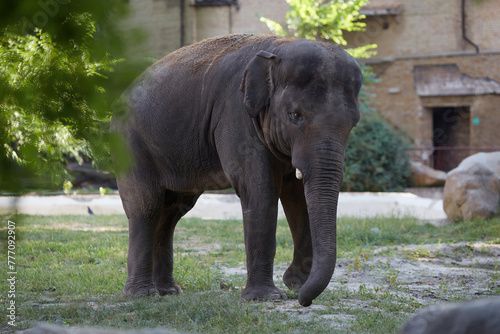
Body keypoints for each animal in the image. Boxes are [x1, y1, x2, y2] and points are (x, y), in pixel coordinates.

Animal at [112, 32, 364, 306]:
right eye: (295, 115)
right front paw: (266, 297)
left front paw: (295, 283)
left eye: (354, 123)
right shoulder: (235, 114)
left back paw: (168, 291)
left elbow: (297, 197)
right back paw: (142, 294)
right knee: (146, 207)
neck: (279, 47)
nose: (303, 300)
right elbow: (259, 190)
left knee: (172, 212)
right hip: (130, 146)